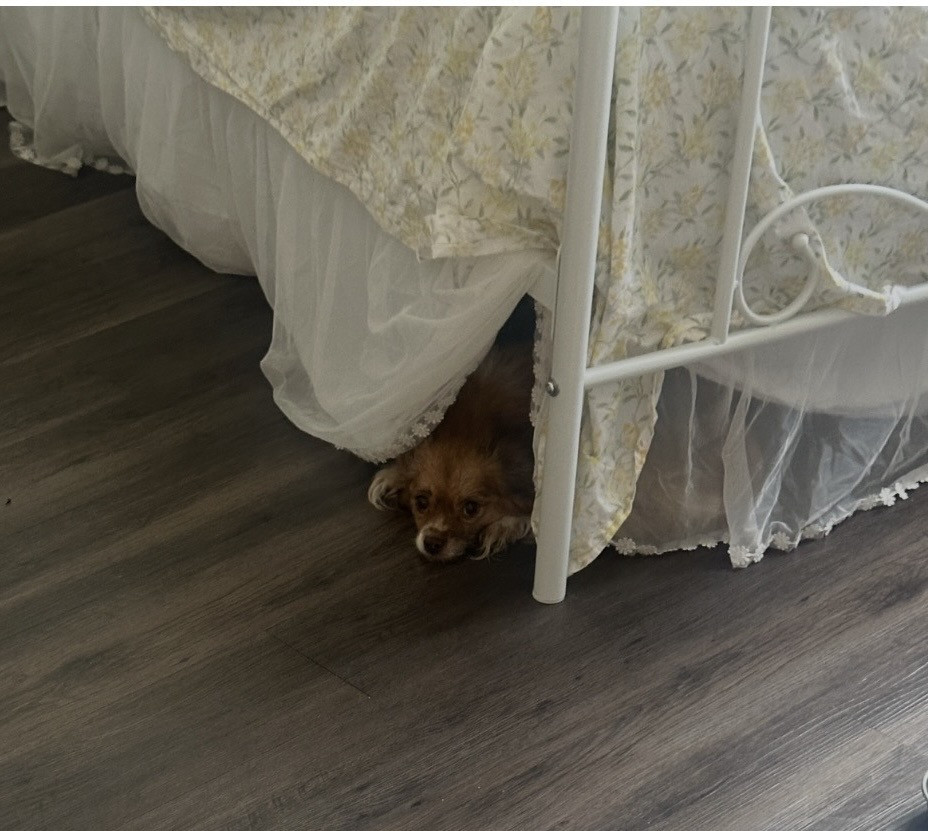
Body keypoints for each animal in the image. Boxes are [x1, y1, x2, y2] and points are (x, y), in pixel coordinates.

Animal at [368, 342, 535, 562]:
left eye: (471, 508)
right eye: (421, 502)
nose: (431, 543)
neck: (471, 424)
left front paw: (503, 527)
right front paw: (393, 475)